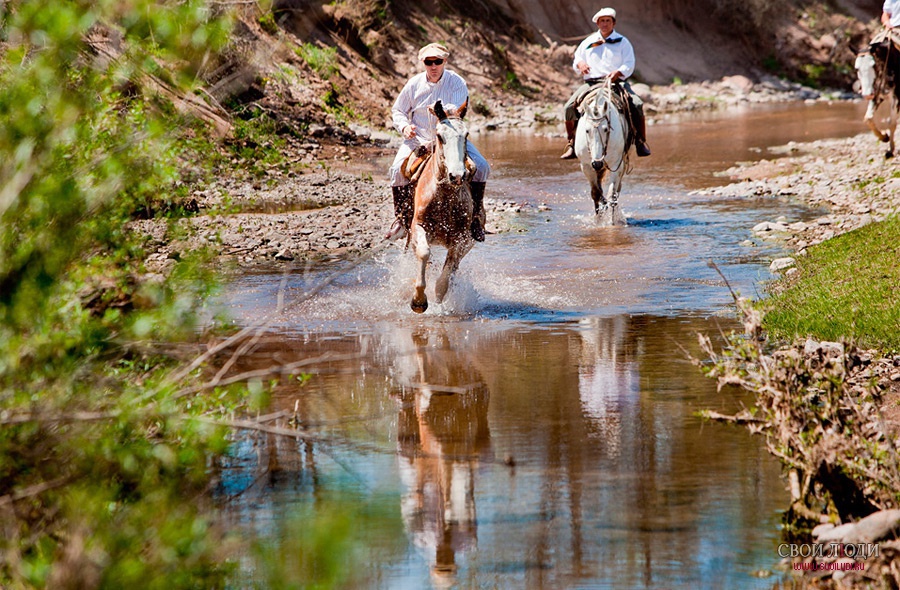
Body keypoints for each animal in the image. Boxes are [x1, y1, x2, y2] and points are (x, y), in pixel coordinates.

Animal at [572, 78, 628, 227]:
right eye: (587, 130)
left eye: (606, 129)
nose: (597, 163)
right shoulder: (586, 166)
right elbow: (596, 193)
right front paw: (598, 219)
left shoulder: (616, 164)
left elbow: (612, 194)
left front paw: (612, 222)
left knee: (617, 190)